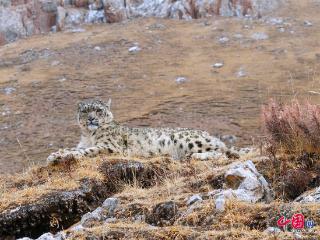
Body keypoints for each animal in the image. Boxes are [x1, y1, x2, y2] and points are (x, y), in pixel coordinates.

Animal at [47, 98, 228, 164]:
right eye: (85, 111)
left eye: (98, 110)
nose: (91, 119)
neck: (89, 135)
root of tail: (209, 134)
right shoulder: (82, 144)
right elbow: (74, 148)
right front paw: (54, 154)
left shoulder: (109, 146)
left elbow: (87, 151)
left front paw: (59, 156)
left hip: (185, 139)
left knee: (224, 152)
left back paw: (197, 156)